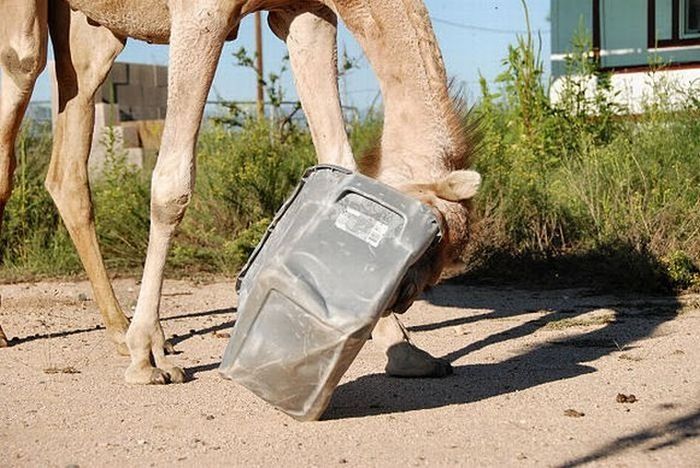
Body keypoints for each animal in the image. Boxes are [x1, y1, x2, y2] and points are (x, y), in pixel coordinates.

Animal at [0, 0, 482, 384]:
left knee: (68, 162)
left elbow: (338, 156)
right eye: (430, 237)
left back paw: (121, 330)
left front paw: (407, 353)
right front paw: (147, 362)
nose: (403, 299)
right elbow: (172, 186)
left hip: (93, 28)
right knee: (22, 67)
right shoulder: (201, 12)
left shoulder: (307, 11)